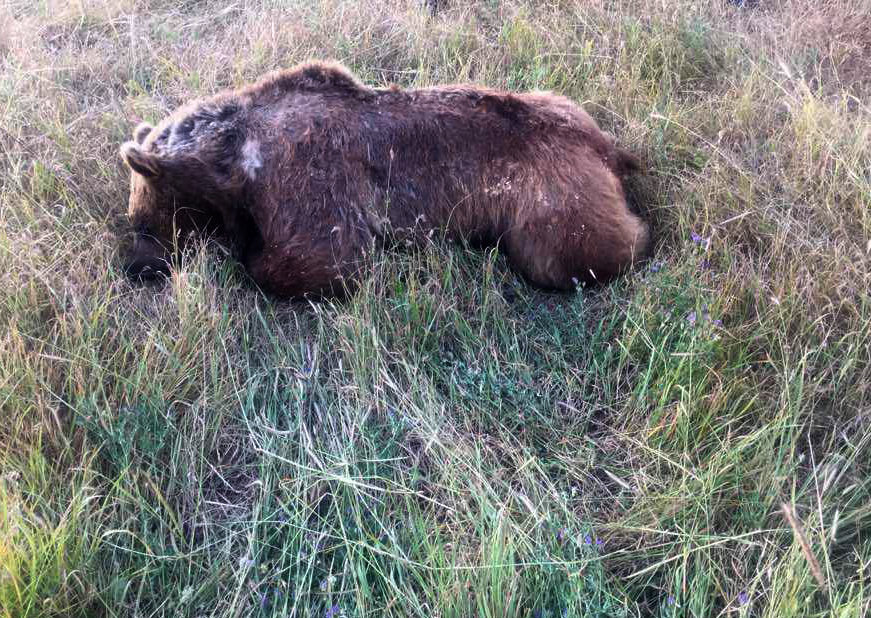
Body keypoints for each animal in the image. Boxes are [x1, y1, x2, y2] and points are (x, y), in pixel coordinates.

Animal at [121, 61, 648, 298]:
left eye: (143, 221)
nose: (135, 267)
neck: (232, 160)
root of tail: (603, 146)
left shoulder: (305, 181)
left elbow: (324, 260)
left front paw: (244, 252)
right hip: (561, 103)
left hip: (550, 194)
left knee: (566, 254)